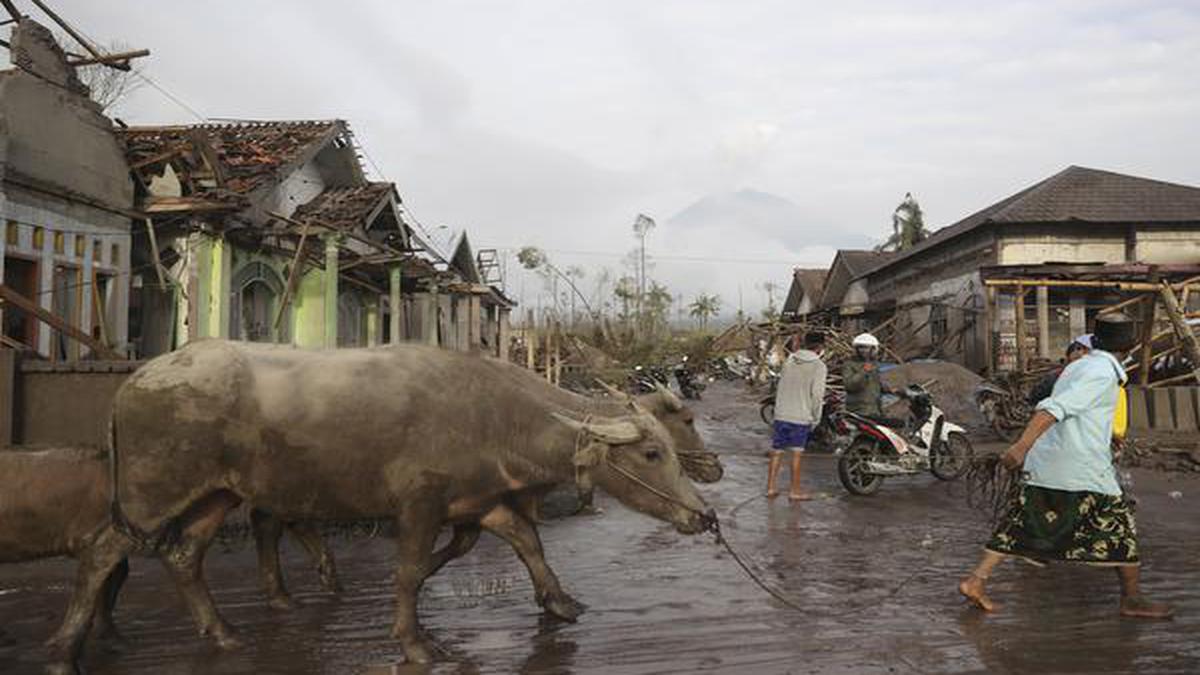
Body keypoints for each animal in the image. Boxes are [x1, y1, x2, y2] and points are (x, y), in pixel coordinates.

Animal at [49, 341, 710, 667]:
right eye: (652, 452)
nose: (703, 515)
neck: (494, 414)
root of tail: (134, 381)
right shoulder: (419, 505)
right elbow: (410, 571)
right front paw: (416, 643)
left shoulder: (479, 501)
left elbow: (528, 543)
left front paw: (562, 604)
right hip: (152, 492)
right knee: (103, 552)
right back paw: (64, 646)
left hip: (219, 492)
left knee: (185, 555)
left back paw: (224, 634)